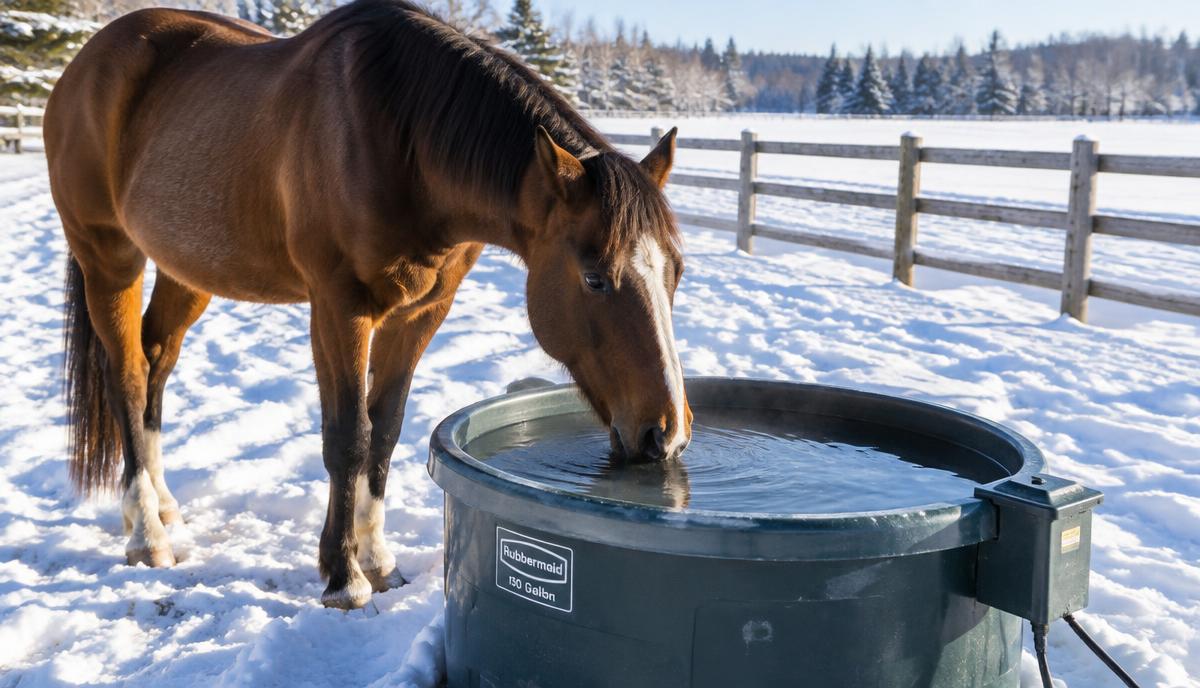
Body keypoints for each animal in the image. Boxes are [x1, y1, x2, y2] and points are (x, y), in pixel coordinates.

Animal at [44, 0, 692, 610]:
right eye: (595, 279)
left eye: (677, 271)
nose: (667, 433)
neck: (400, 137)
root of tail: (86, 63)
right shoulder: (338, 309)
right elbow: (347, 436)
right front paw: (342, 575)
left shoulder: (422, 312)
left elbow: (385, 428)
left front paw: (377, 559)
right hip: (109, 258)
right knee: (128, 377)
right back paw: (146, 533)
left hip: (187, 270)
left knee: (157, 359)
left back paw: (161, 505)